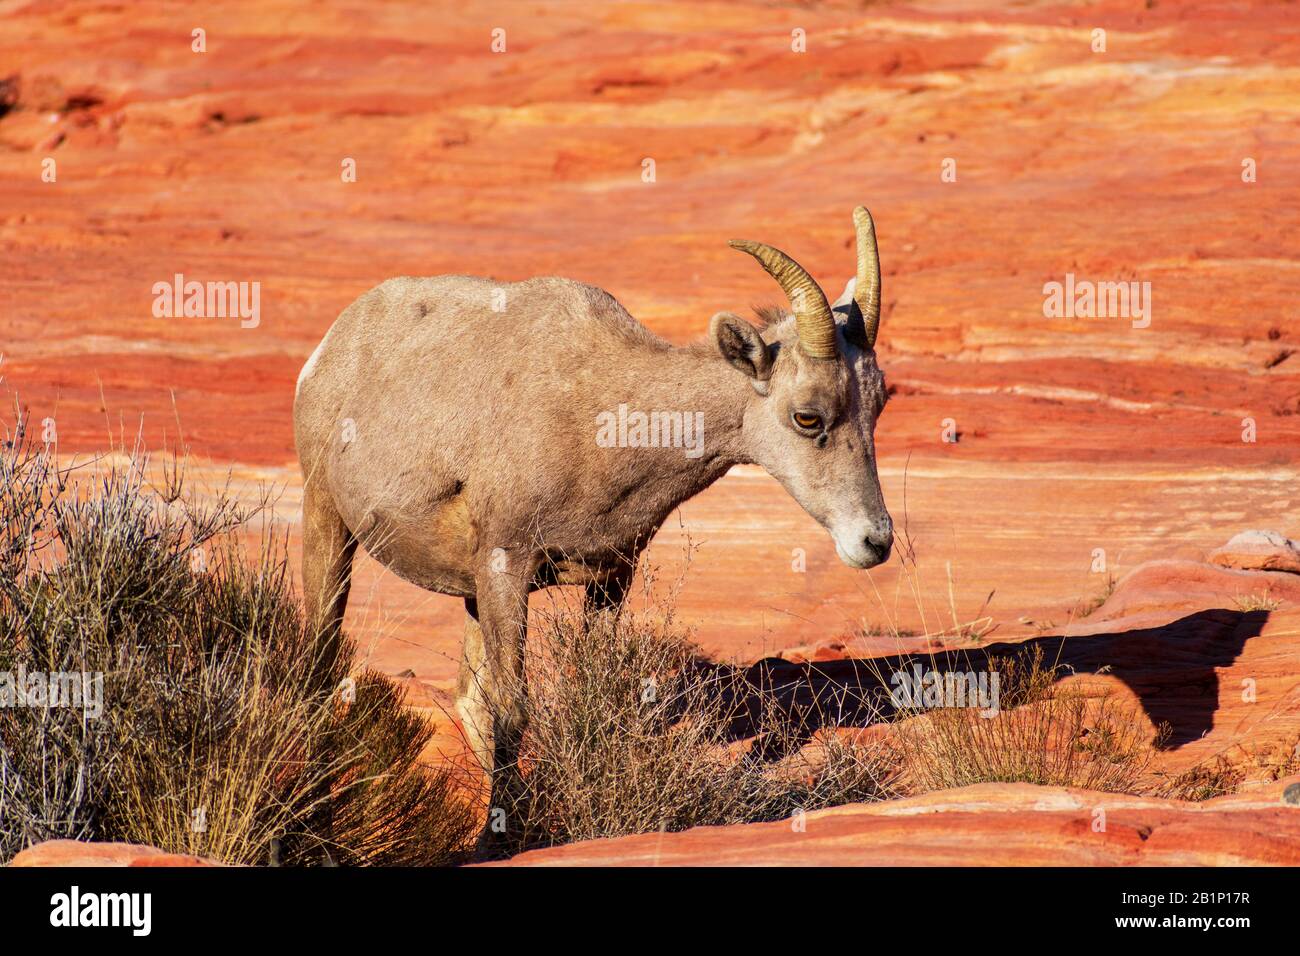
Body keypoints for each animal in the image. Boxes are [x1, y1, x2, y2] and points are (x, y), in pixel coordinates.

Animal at [295, 201, 894, 806]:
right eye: (807, 417)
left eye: (878, 404)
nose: (874, 541)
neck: (604, 419)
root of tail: (328, 350)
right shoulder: (507, 568)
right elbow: (512, 713)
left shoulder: (610, 576)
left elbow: (588, 693)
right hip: (328, 526)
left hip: (466, 594)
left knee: (466, 697)